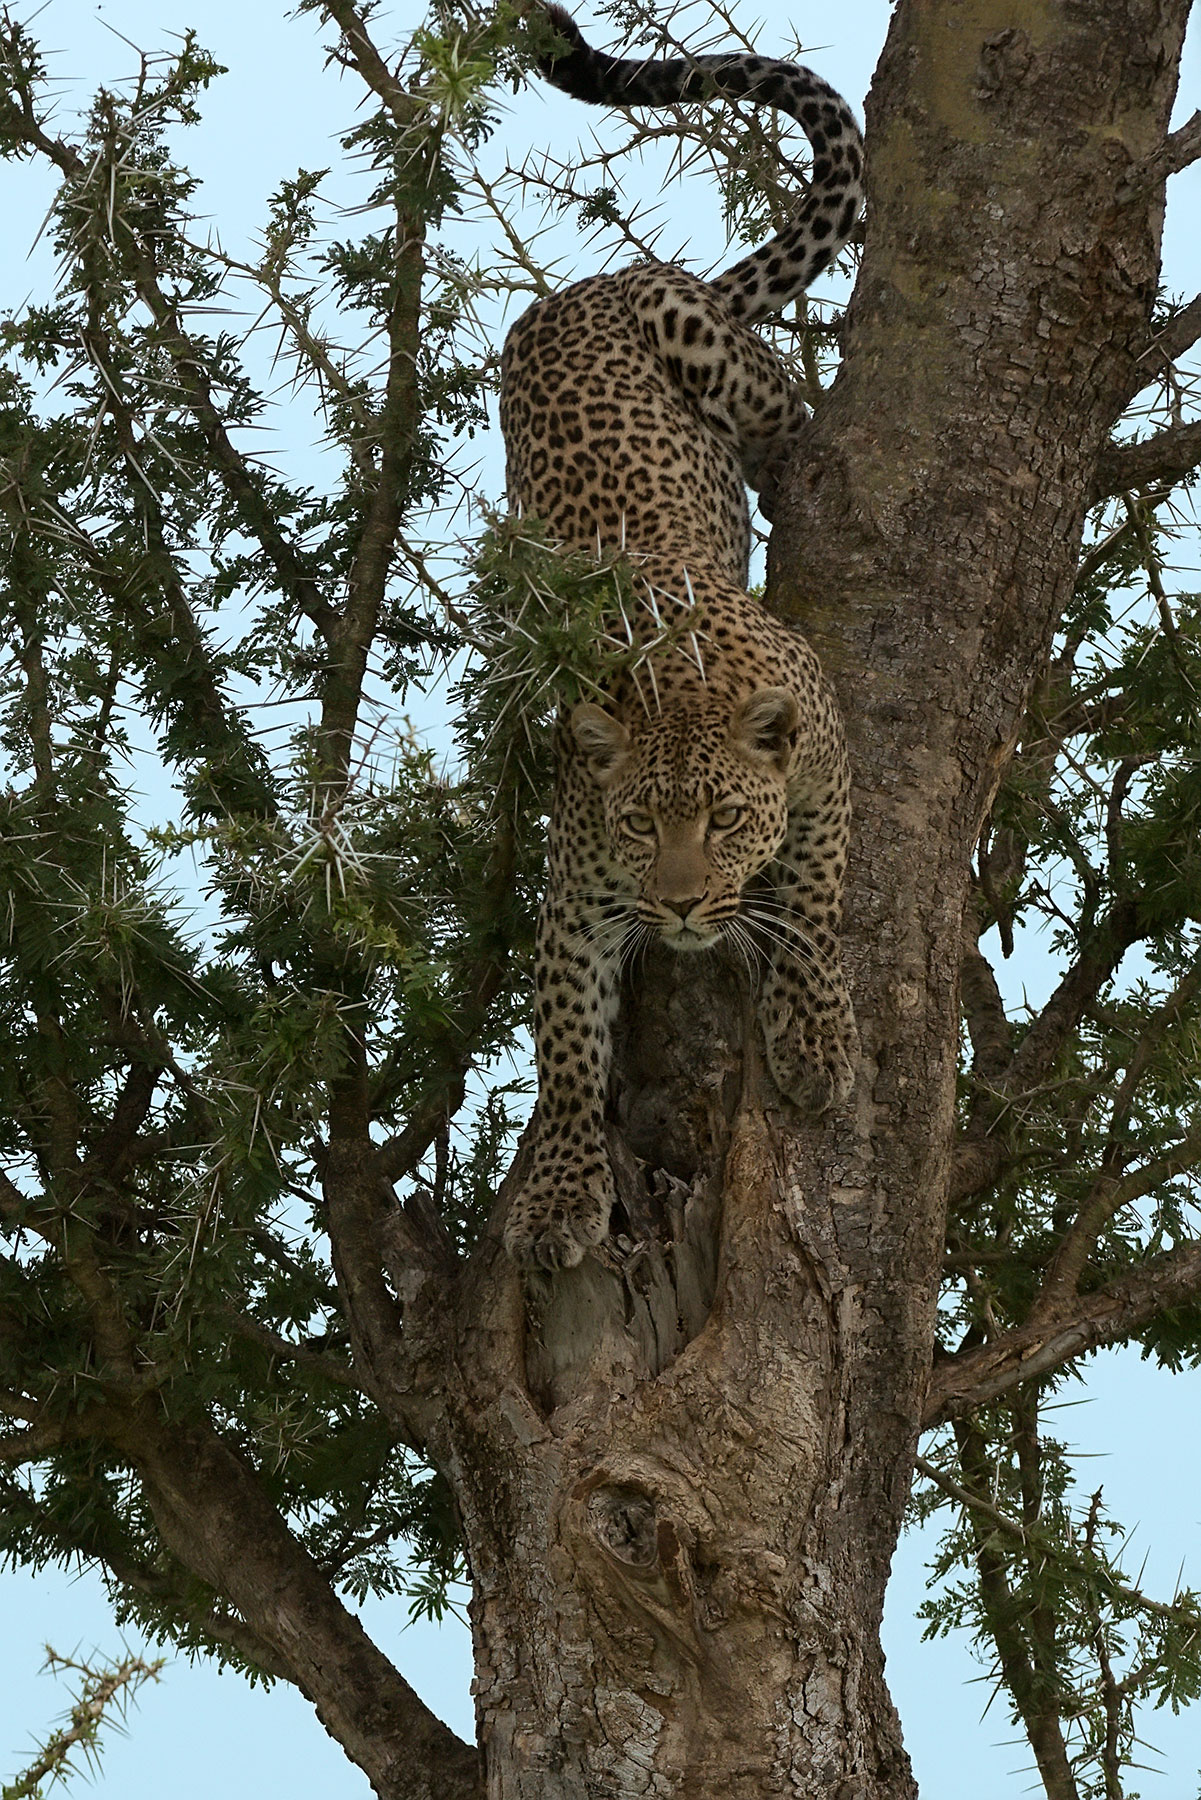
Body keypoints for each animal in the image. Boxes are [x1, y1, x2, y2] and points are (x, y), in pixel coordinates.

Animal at [500, 3, 864, 1270]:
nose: (680, 911)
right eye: (640, 824)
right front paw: (561, 1194)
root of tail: (590, 281)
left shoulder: (825, 768)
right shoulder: (577, 893)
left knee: (790, 408)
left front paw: (813, 1036)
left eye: (724, 822)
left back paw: (787, 466)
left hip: (701, 339)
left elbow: (812, 906)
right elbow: (565, 1053)